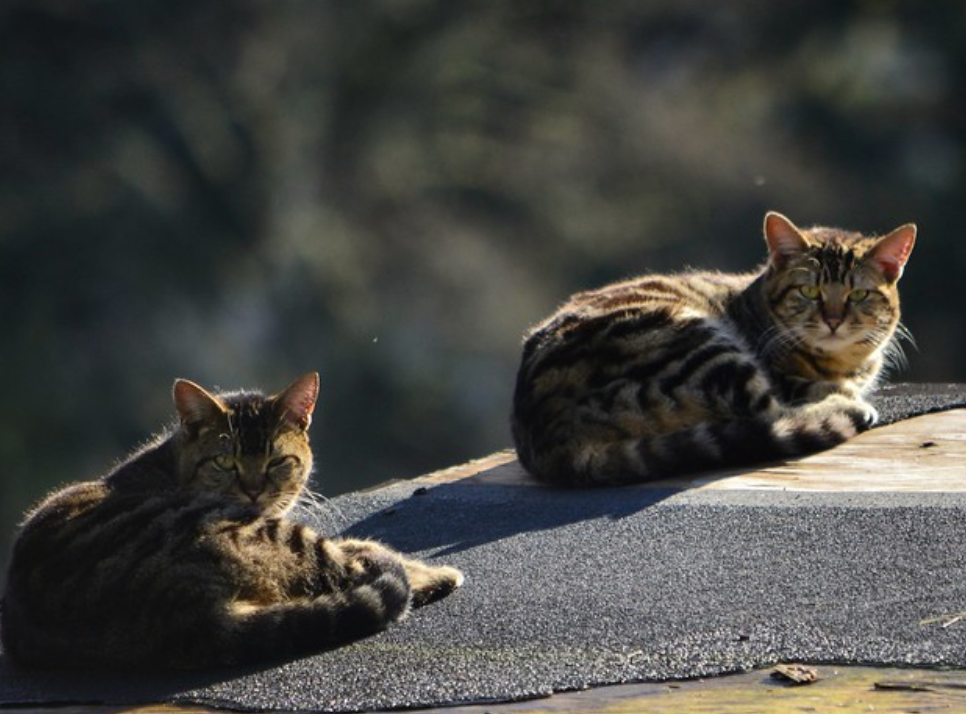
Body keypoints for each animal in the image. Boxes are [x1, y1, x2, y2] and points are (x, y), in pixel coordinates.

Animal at [2, 372, 466, 668]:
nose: (254, 490)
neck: (170, 462)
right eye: (225, 461)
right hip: (277, 537)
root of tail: (186, 617)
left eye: (277, 461)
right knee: (350, 569)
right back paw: (434, 576)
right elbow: (365, 549)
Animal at [510, 210, 920, 484]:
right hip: (700, 345)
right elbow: (807, 390)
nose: (833, 320)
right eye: (809, 291)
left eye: (859, 295)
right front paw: (845, 394)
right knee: (771, 414)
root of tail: (545, 434)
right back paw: (849, 407)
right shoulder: (784, 375)